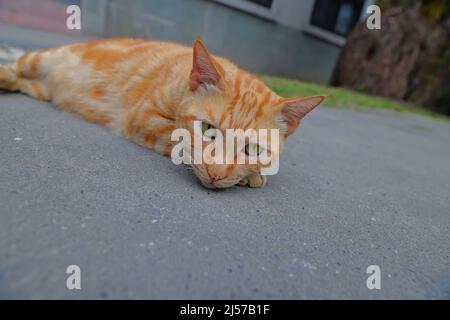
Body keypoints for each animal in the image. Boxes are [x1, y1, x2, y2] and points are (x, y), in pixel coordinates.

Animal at [0, 37, 324, 189]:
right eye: (208, 129)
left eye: (253, 149)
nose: (217, 174)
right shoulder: (145, 117)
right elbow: (177, 140)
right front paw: (249, 177)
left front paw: (252, 172)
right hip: (40, 59)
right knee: (17, 64)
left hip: (42, 89)